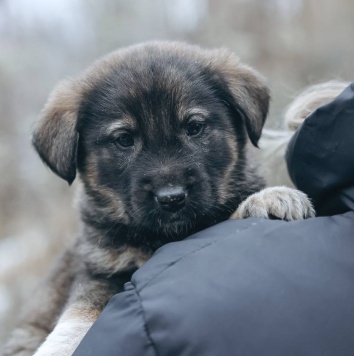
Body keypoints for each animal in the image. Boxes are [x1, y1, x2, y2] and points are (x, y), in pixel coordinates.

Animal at [2, 42, 312, 356]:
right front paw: (58, 346)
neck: (159, 238)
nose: (171, 198)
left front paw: (268, 198)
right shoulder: (99, 268)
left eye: (194, 127)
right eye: (124, 139)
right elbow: (81, 309)